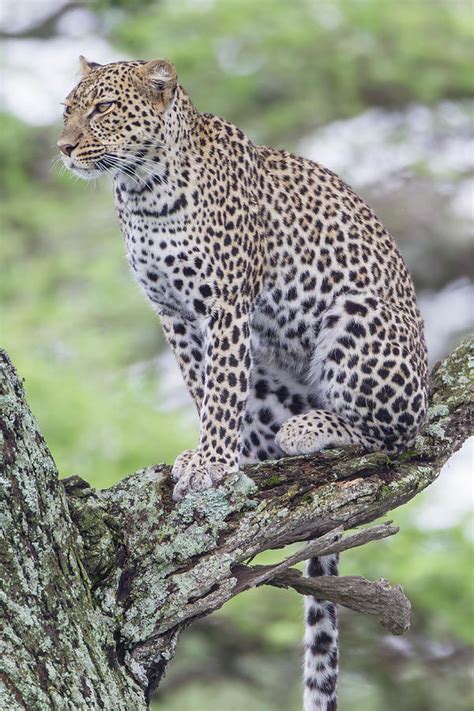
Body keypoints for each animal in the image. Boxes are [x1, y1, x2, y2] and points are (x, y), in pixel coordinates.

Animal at [59, 57, 430, 711]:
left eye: (102, 108)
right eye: (67, 110)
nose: (64, 146)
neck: (143, 192)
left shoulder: (228, 302)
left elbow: (221, 386)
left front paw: (211, 462)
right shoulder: (174, 315)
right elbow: (203, 385)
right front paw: (207, 456)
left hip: (359, 323)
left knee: (396, 437)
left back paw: (312, 428)